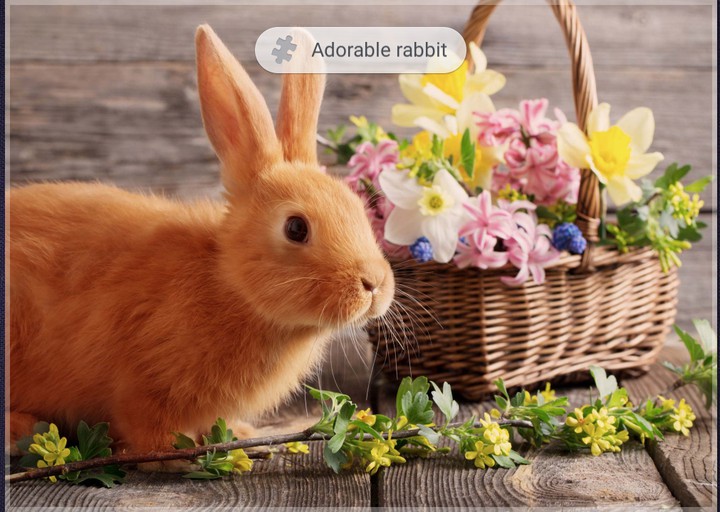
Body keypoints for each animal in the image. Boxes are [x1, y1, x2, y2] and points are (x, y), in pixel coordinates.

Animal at [8, 24, 394, 457]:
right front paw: (172, 456)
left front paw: (238, 438)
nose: (374, 284)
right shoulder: (139, 379)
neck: (228, 284)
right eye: (296, 228)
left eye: (358, 209)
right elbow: (145, 425)